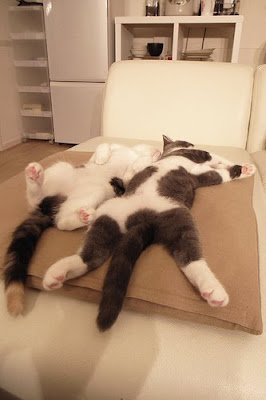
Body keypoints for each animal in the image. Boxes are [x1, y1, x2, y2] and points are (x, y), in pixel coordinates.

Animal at [4, 143, 161, 316]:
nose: (157, 151)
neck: (134, 152)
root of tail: (55, 204)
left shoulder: (124, 183)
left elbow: (130, 172)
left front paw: (140, 162)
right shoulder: (109, 153)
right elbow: (104, 146)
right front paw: (102, 158)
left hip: (95, 191)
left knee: (60, 221)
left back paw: (83, 217)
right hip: (62, 170)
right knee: (37, 201)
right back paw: (34, 176)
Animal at [41, 137, 256, 332]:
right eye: (187, 142)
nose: (192, 143)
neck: (173, 154)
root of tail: (144, 220)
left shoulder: (198, 172)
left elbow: (219, 172)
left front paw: (244, 169)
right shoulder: (200, 161)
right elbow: (218, 164)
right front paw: (243, 168)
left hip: (141, 216)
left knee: (96, 253)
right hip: (151, 215)